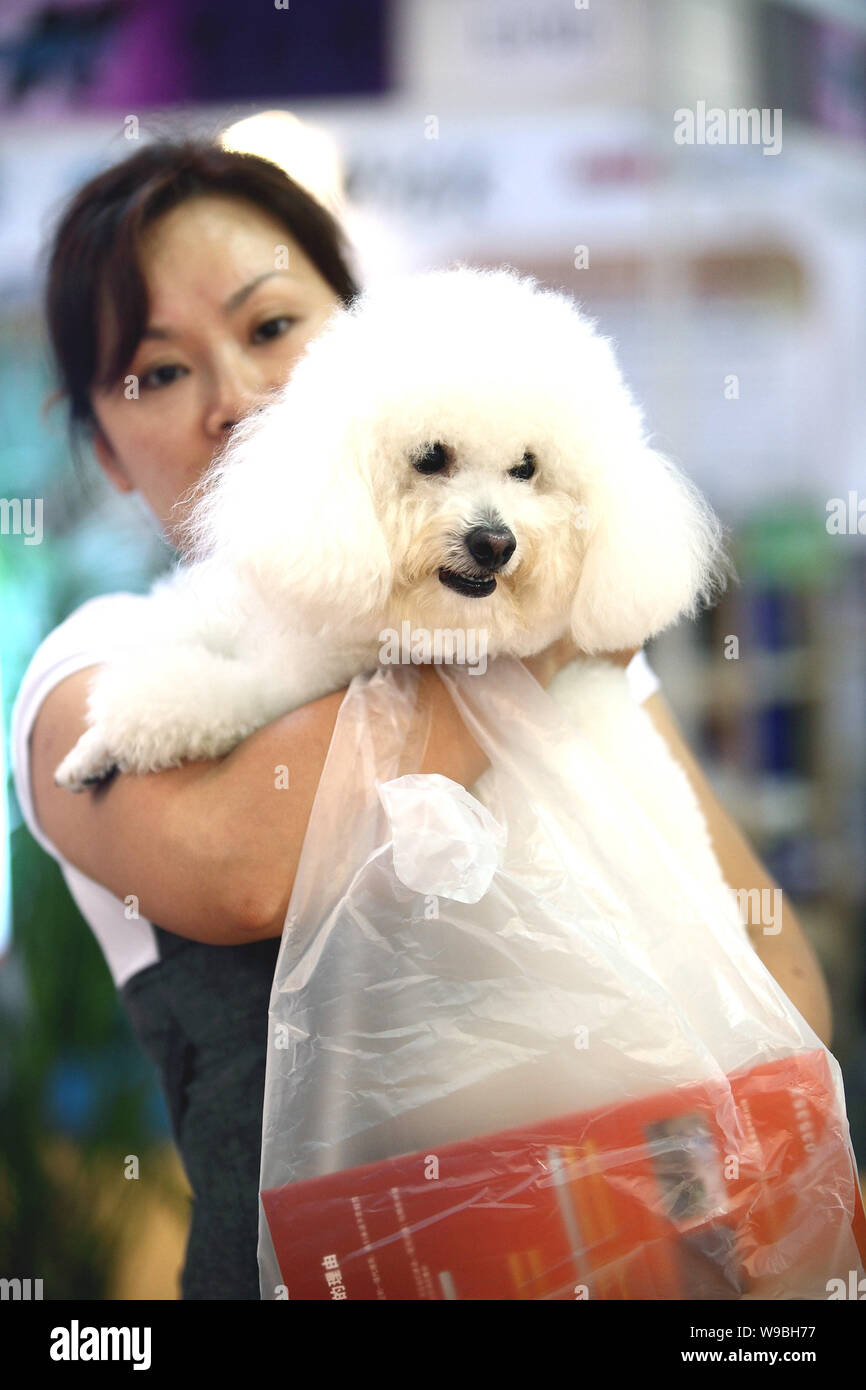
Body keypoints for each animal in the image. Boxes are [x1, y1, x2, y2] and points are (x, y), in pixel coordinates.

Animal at [54, 268, 733, 878]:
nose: (494, 543)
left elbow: (200, 696)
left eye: (526, 468)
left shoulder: (292, 683)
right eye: (430, 457)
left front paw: (108, 735)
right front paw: (87, 750)